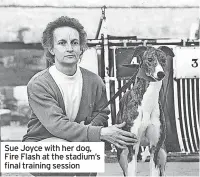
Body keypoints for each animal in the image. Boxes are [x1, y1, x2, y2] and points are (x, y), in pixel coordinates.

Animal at [116, 46, 174, 177]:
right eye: (150, 59)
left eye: (163, 60)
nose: (161, 74)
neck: (148, 103)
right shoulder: (132, 148)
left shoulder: (155, 148)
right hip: (122, 152)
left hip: (162, 153)